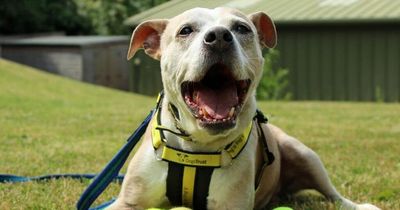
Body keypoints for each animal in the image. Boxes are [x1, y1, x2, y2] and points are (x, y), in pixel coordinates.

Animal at [107, 6, 382, 210]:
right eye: (185, 31)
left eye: (241, 28)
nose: (219, 37)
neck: (198, 146)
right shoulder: (126, 202)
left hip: (303, 153)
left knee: (333, 194)